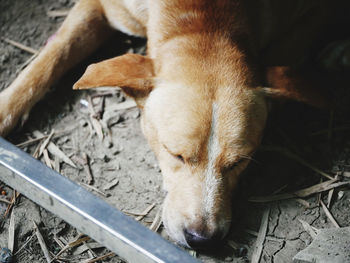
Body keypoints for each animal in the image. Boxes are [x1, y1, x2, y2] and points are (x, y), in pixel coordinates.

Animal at [0, 0, 350, 250]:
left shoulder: (313, 11)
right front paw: (6, 107)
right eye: (175, 154)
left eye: (239, 162)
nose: (202, 240)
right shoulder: (96, 5)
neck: (203, 21)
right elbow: (53, 54)